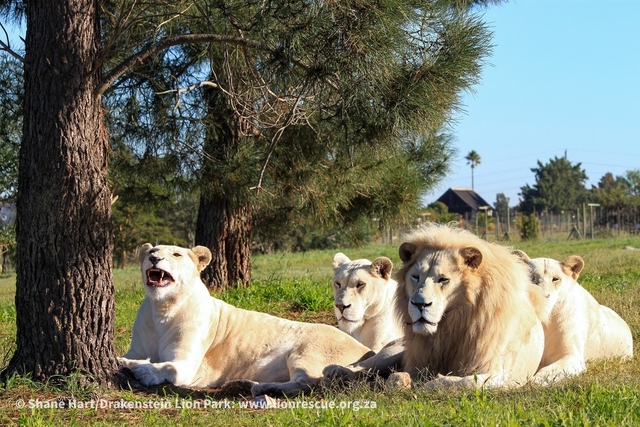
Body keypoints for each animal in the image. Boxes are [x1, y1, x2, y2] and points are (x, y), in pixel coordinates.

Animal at [119, 244, 376, 398]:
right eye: (152, 250)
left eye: (176, 254)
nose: (154, 257)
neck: (162, 309)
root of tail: (367, 350)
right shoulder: (138, 347)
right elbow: (130, 355)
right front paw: (126, 360)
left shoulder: (188, 365)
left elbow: (166, 367)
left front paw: (142, 369)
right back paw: (247, 383)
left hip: (306, 352)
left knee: (307, 382)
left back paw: (260, 386)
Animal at [324, 224, 544, 392]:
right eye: (415, 277)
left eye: (443, 279)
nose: (419, 304)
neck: (453, 325)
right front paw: (405, 380)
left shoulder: (504, 374)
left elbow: (466, 382)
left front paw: (430, 383)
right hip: (393, 352)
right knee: (363, 365)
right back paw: (336, 371)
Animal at [512, 251, 632, 384]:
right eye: (532, 278)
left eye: (555, 279)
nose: (542, 296)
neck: (546, 322)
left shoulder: (573, 356)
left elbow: (550, 371)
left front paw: (534, 381)